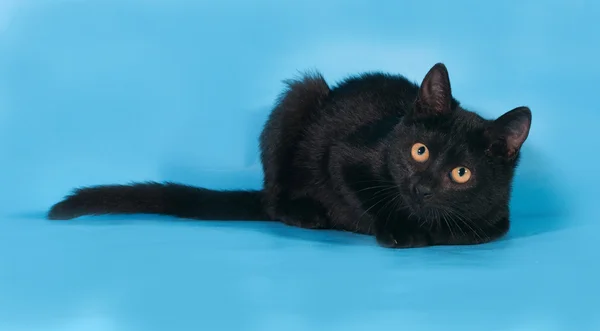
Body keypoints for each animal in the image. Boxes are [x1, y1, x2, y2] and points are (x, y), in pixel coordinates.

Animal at [49, 62, 532, 249]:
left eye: (461, 173)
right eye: (419, 151)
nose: (422, 186)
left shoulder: (496, 221)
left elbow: (468, 231)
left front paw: (434, 229)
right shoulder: (345, 154)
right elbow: (368, 193)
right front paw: (401, 228)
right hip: (300, 97)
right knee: (275, 199)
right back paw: (308, 212)